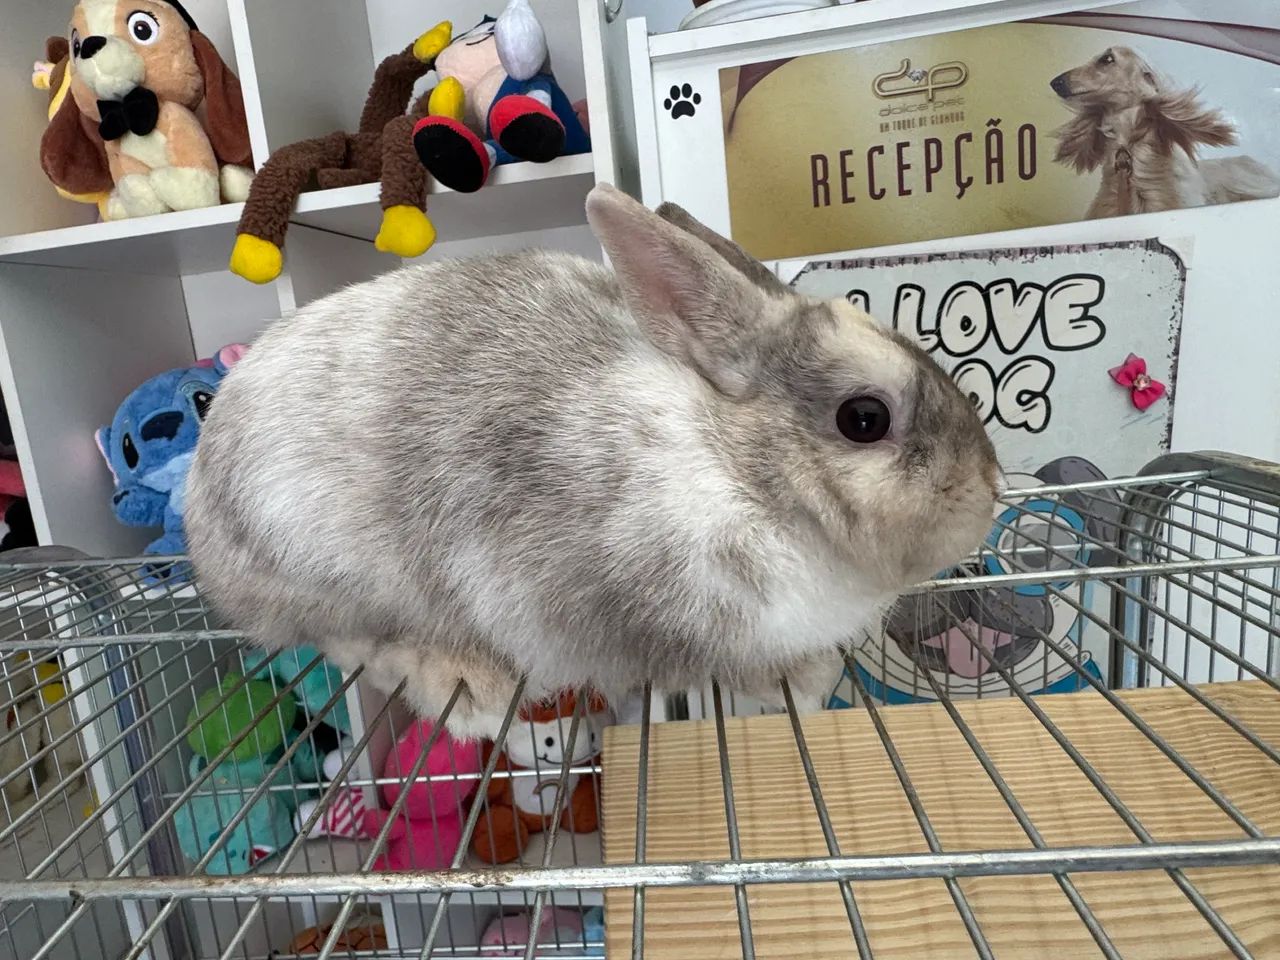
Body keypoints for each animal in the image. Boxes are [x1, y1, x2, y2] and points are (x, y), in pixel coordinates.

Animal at [185, 184, 1001, 739]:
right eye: (864, 419)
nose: (987, 490)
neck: (736, 472)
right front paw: (802, 679)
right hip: (320, 561)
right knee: (349, 638)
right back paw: (468, 685)